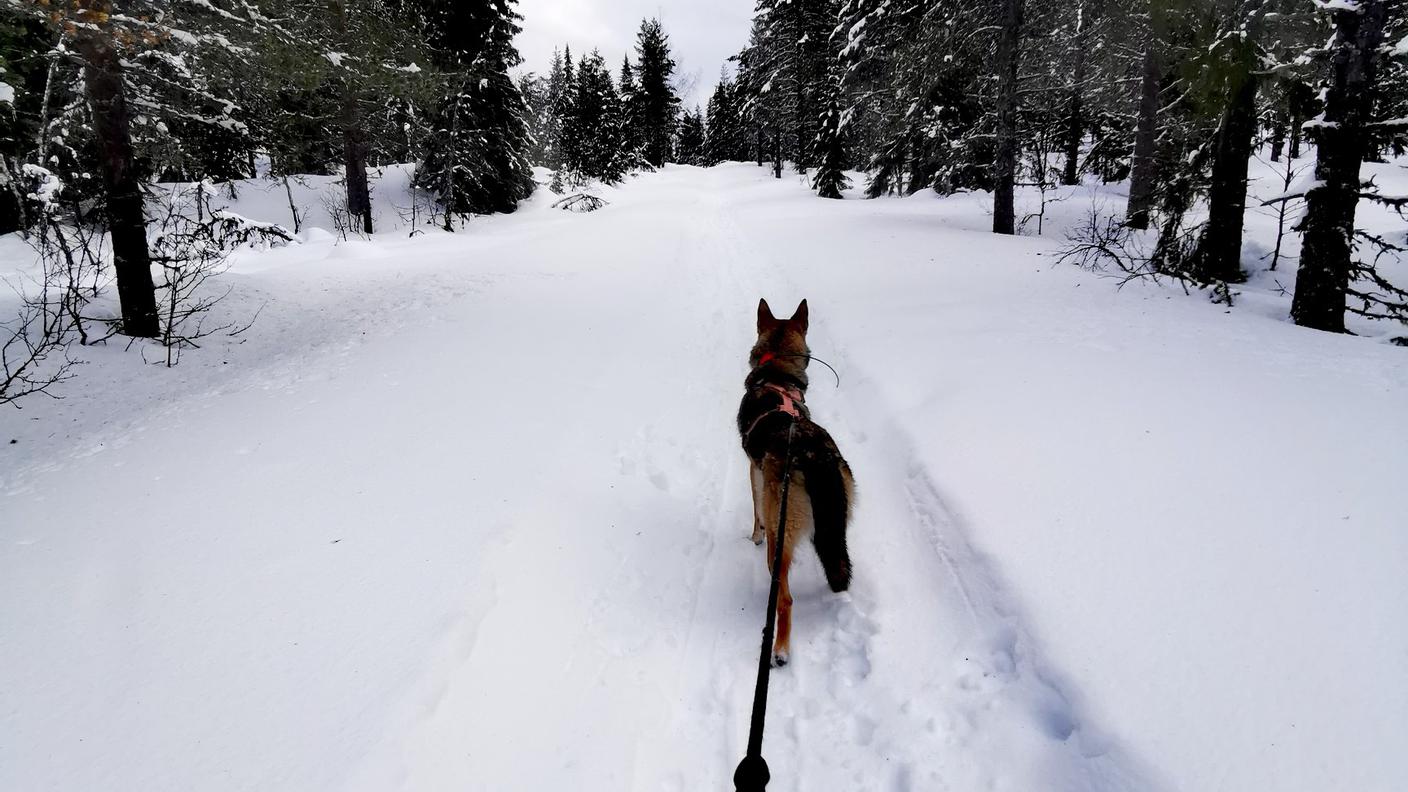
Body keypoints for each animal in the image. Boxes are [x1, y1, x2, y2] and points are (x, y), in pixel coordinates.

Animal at [737, 298, 856, 662]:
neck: (776, 376)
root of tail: (814, 457)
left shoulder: (754, 470)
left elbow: (756, 512)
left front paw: (754, 535)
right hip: (839, 519)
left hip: (781, 534)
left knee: (785, 600)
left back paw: (780, 650)